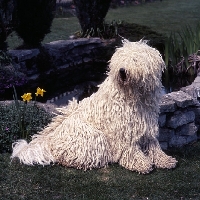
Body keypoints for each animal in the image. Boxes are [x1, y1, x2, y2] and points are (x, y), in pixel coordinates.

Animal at [11, 39, 177, 173]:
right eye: (121, 60)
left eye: (135, 59)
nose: (122, 71)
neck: (133, 96)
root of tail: (50, 140)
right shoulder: (124, 129)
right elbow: (130, 148)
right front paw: (141, 164)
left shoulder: (147, 124)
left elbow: (153, 145)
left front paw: (165, 160)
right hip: (91, 134)